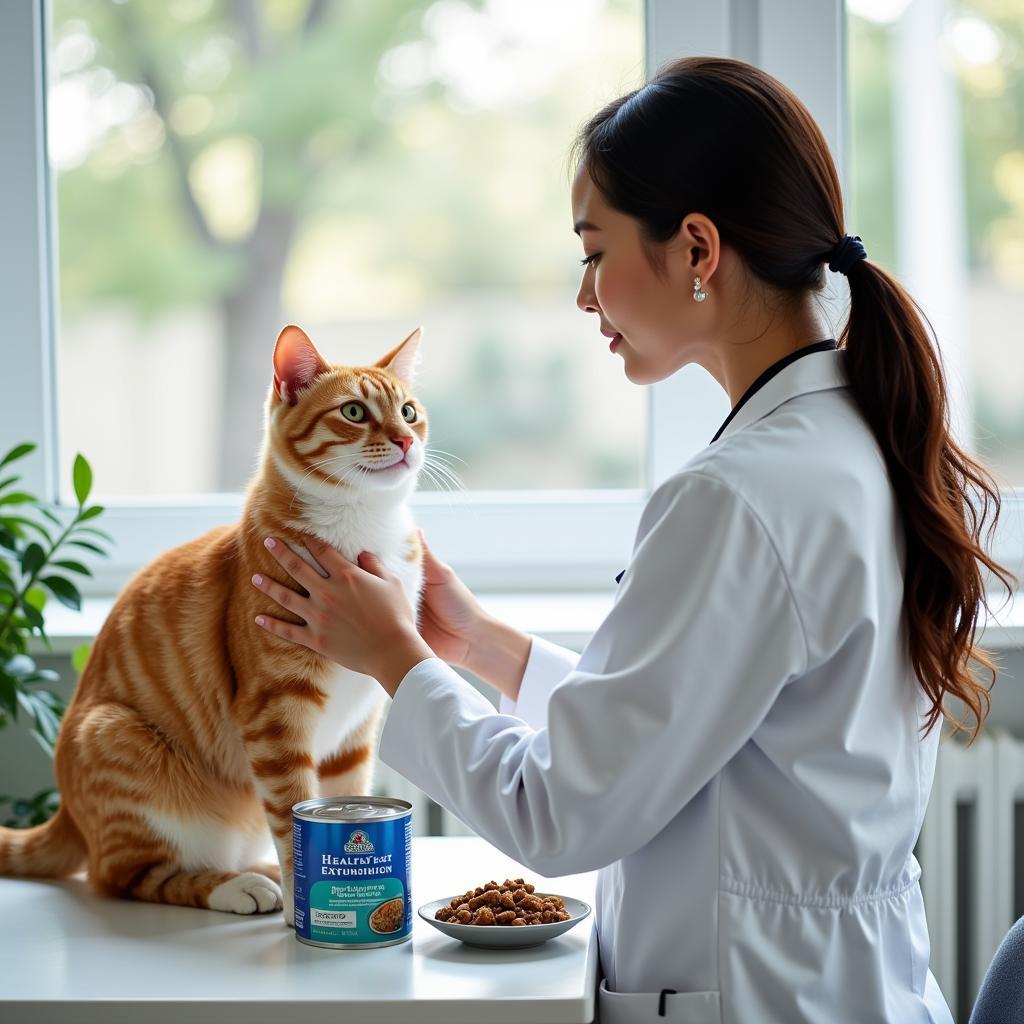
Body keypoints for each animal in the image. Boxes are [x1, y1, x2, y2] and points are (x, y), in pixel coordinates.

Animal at [0, 323, 428, 925]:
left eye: (409, 411)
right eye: (354, 412)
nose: (406, 440)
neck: (365, 527)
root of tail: (65, 811)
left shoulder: (354, 733)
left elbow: (343, 801)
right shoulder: (274, 718)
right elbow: (292, 814)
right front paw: (303, 904)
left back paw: (256, 870)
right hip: (116, 740)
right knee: (126, 876)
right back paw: (239, 886)